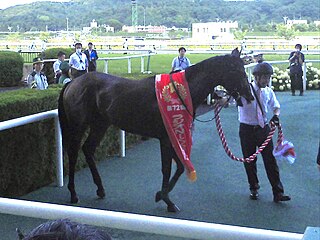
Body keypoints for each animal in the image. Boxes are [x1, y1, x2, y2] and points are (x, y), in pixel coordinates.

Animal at [57, 49, 252, 212]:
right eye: (237, 71)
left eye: (244, 69)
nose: (250, 96)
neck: (180, 92)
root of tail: (73, 83)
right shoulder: (165, 138)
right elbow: (167, 168)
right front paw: (166, 199)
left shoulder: (171, 135)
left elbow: (179, 167)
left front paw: (161, 195)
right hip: (78, 125)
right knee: (73, 153)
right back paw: (73, 193)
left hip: (100, 124)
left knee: (88, 149)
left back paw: (100, 189)